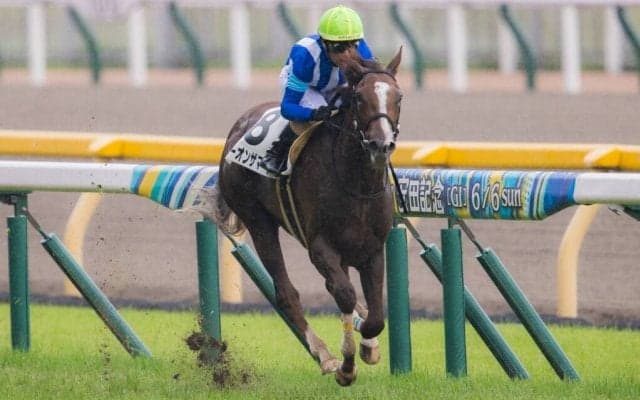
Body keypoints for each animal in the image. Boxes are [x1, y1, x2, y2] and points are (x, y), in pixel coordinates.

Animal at [208, 49, 403, 386]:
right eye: (359, 98)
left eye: (398, 97)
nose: (381, 145)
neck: (356, 182)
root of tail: (238, 126)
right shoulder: (320, 246)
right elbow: (344, 295)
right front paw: (345, 366)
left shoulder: (373, 247)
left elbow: (375, 314)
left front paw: (369, 343)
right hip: (258, 220)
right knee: (287, 293)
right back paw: (324, 356)